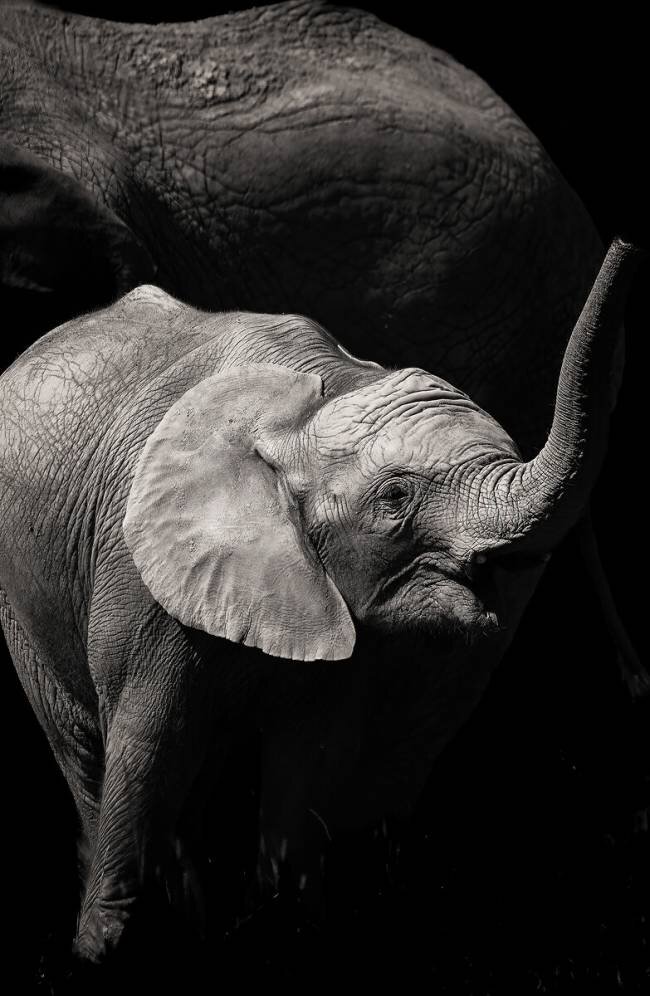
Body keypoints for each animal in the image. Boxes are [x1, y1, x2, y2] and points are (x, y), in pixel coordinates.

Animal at [0, 238, 640, 963]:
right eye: (395, 498)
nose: (626, 243)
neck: (310, 403)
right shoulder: (141, 580)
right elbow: (149, 744)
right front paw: (106, 955)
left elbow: (308, 760)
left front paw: (287, 933)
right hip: (18, 593)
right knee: (83, 746)